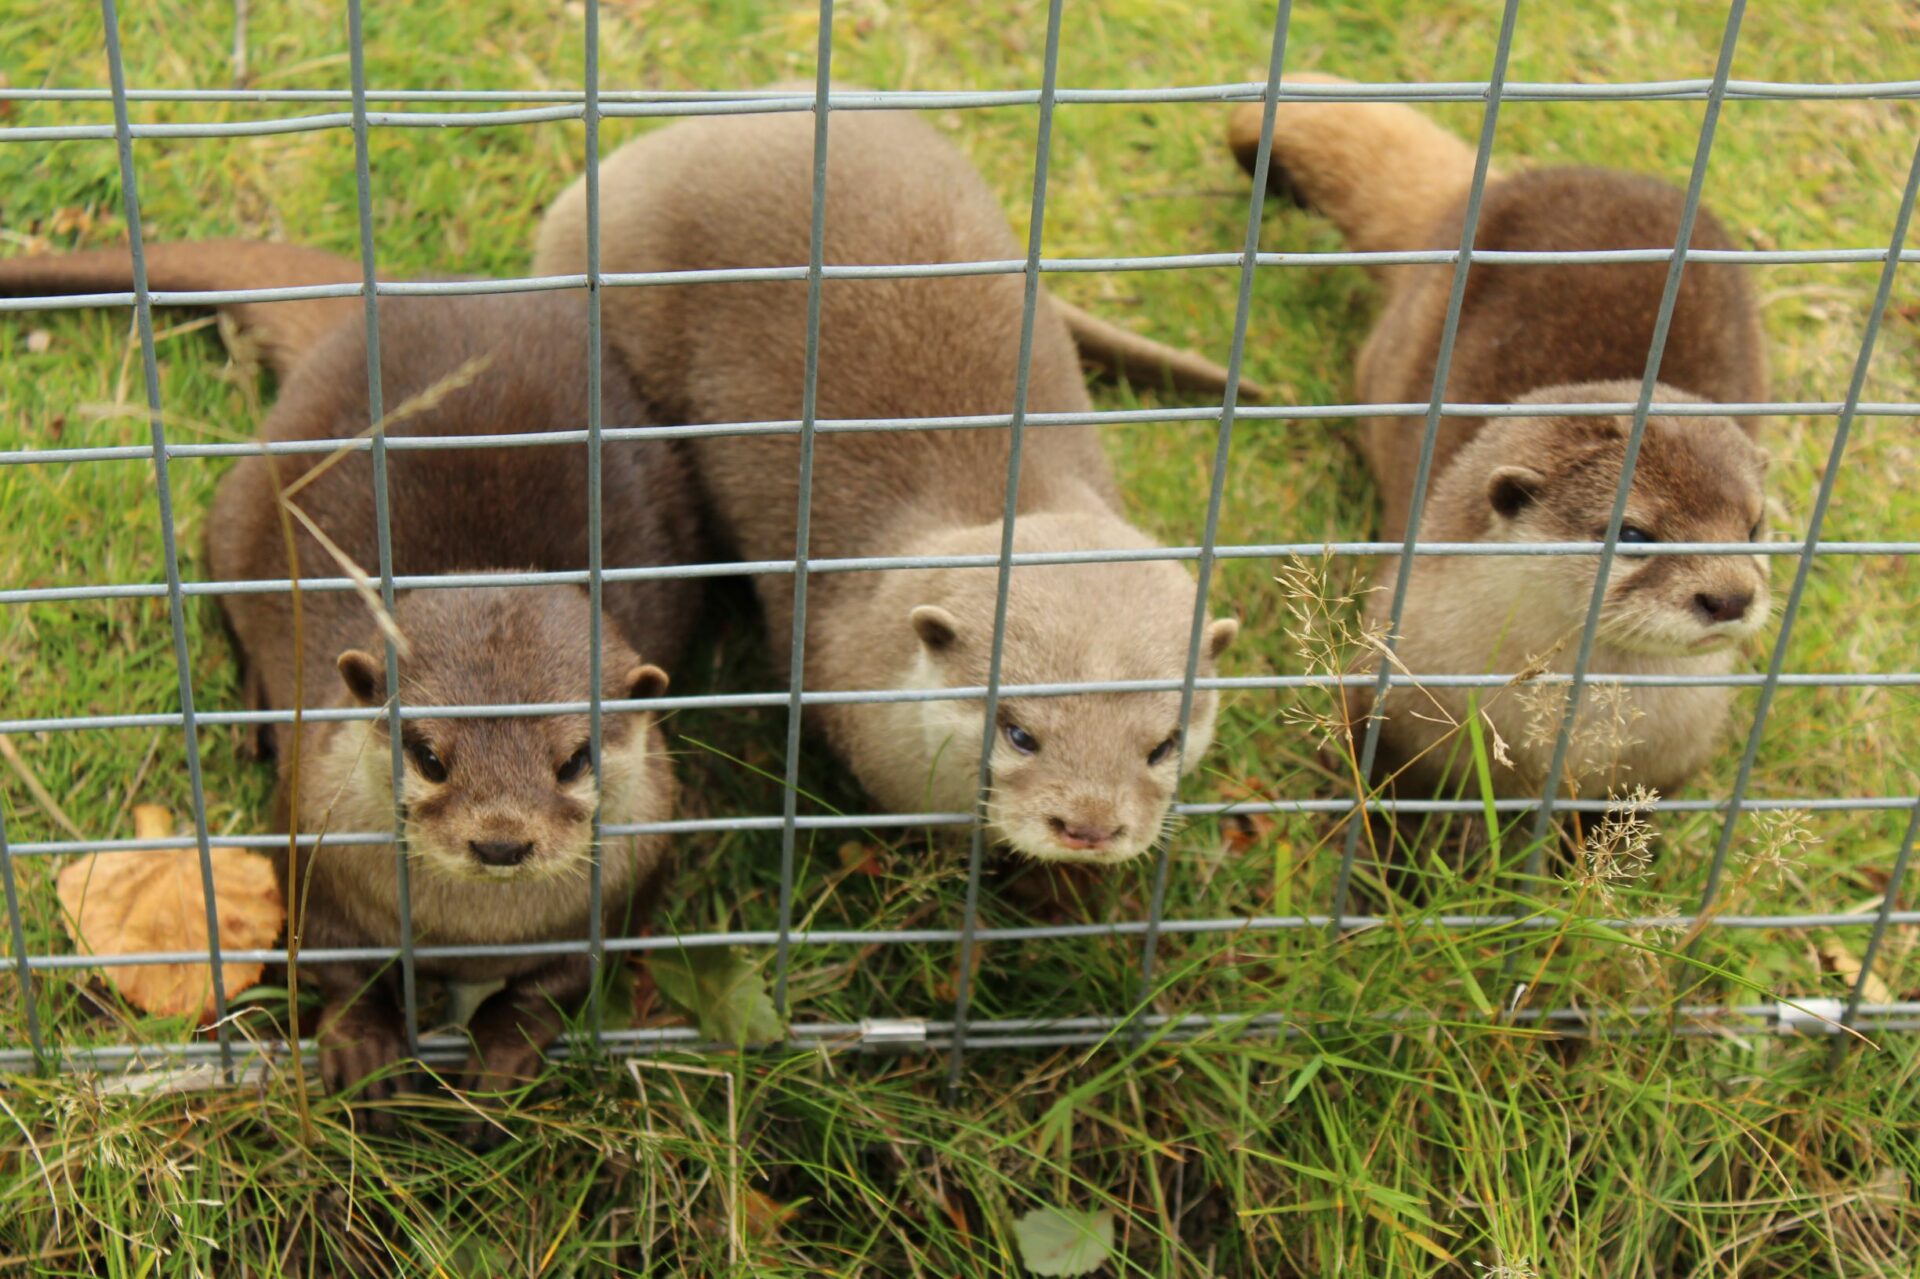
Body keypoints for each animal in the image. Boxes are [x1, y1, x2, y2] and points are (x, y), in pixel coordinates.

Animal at [1230, 76, 1771, 798]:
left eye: (1754, 527)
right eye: (1632, 534)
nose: (1731, 596)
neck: (1553, 746)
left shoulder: (1665, 768)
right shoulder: (1386, 698)